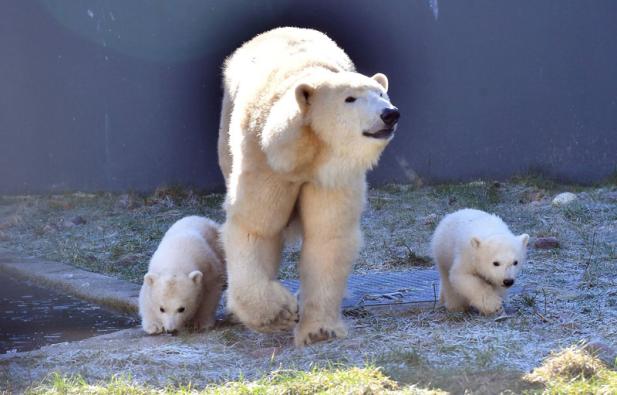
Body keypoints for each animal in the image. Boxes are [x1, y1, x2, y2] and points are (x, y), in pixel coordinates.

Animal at [217, 27, 400, 346]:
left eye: (381, 93)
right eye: (350, 99)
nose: (390, 113)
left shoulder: (333, 176)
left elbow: (327, 236)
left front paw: (319, 330)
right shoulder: (263, 161)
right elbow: (256, 227)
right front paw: (278, 313)